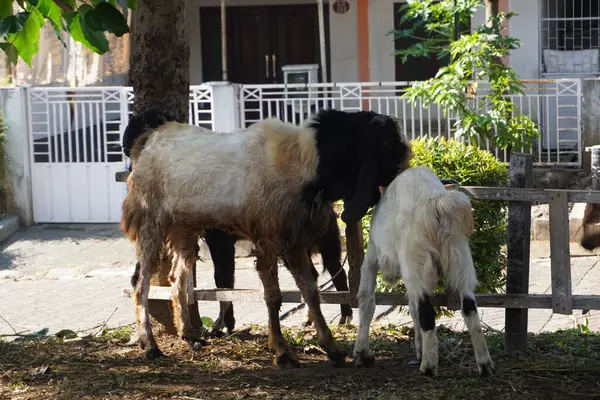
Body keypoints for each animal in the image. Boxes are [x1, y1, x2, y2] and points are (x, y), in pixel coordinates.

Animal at [122, 108, 412, 368]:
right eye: (386, 142)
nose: (406, 170)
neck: (304, 159)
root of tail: (150, 139)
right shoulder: (268, 239)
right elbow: (273, 296)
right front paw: (282, 352)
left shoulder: (294, 242)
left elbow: (311, 292)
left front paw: (332, 348)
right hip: (150, 222)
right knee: (140, 284)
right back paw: (150, 345)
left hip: (184, 229)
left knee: (177, 280)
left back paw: (189, 335)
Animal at [354, 166, 494, 378]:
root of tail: (436, 202)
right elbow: (412, 309)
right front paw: (418, 348)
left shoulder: (372, 258)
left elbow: (367, 302)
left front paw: (362, 354)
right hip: (459, 259)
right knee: (469, 307)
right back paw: (485, 365)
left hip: (417, 261)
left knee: (427, 311)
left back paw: (428, 367)